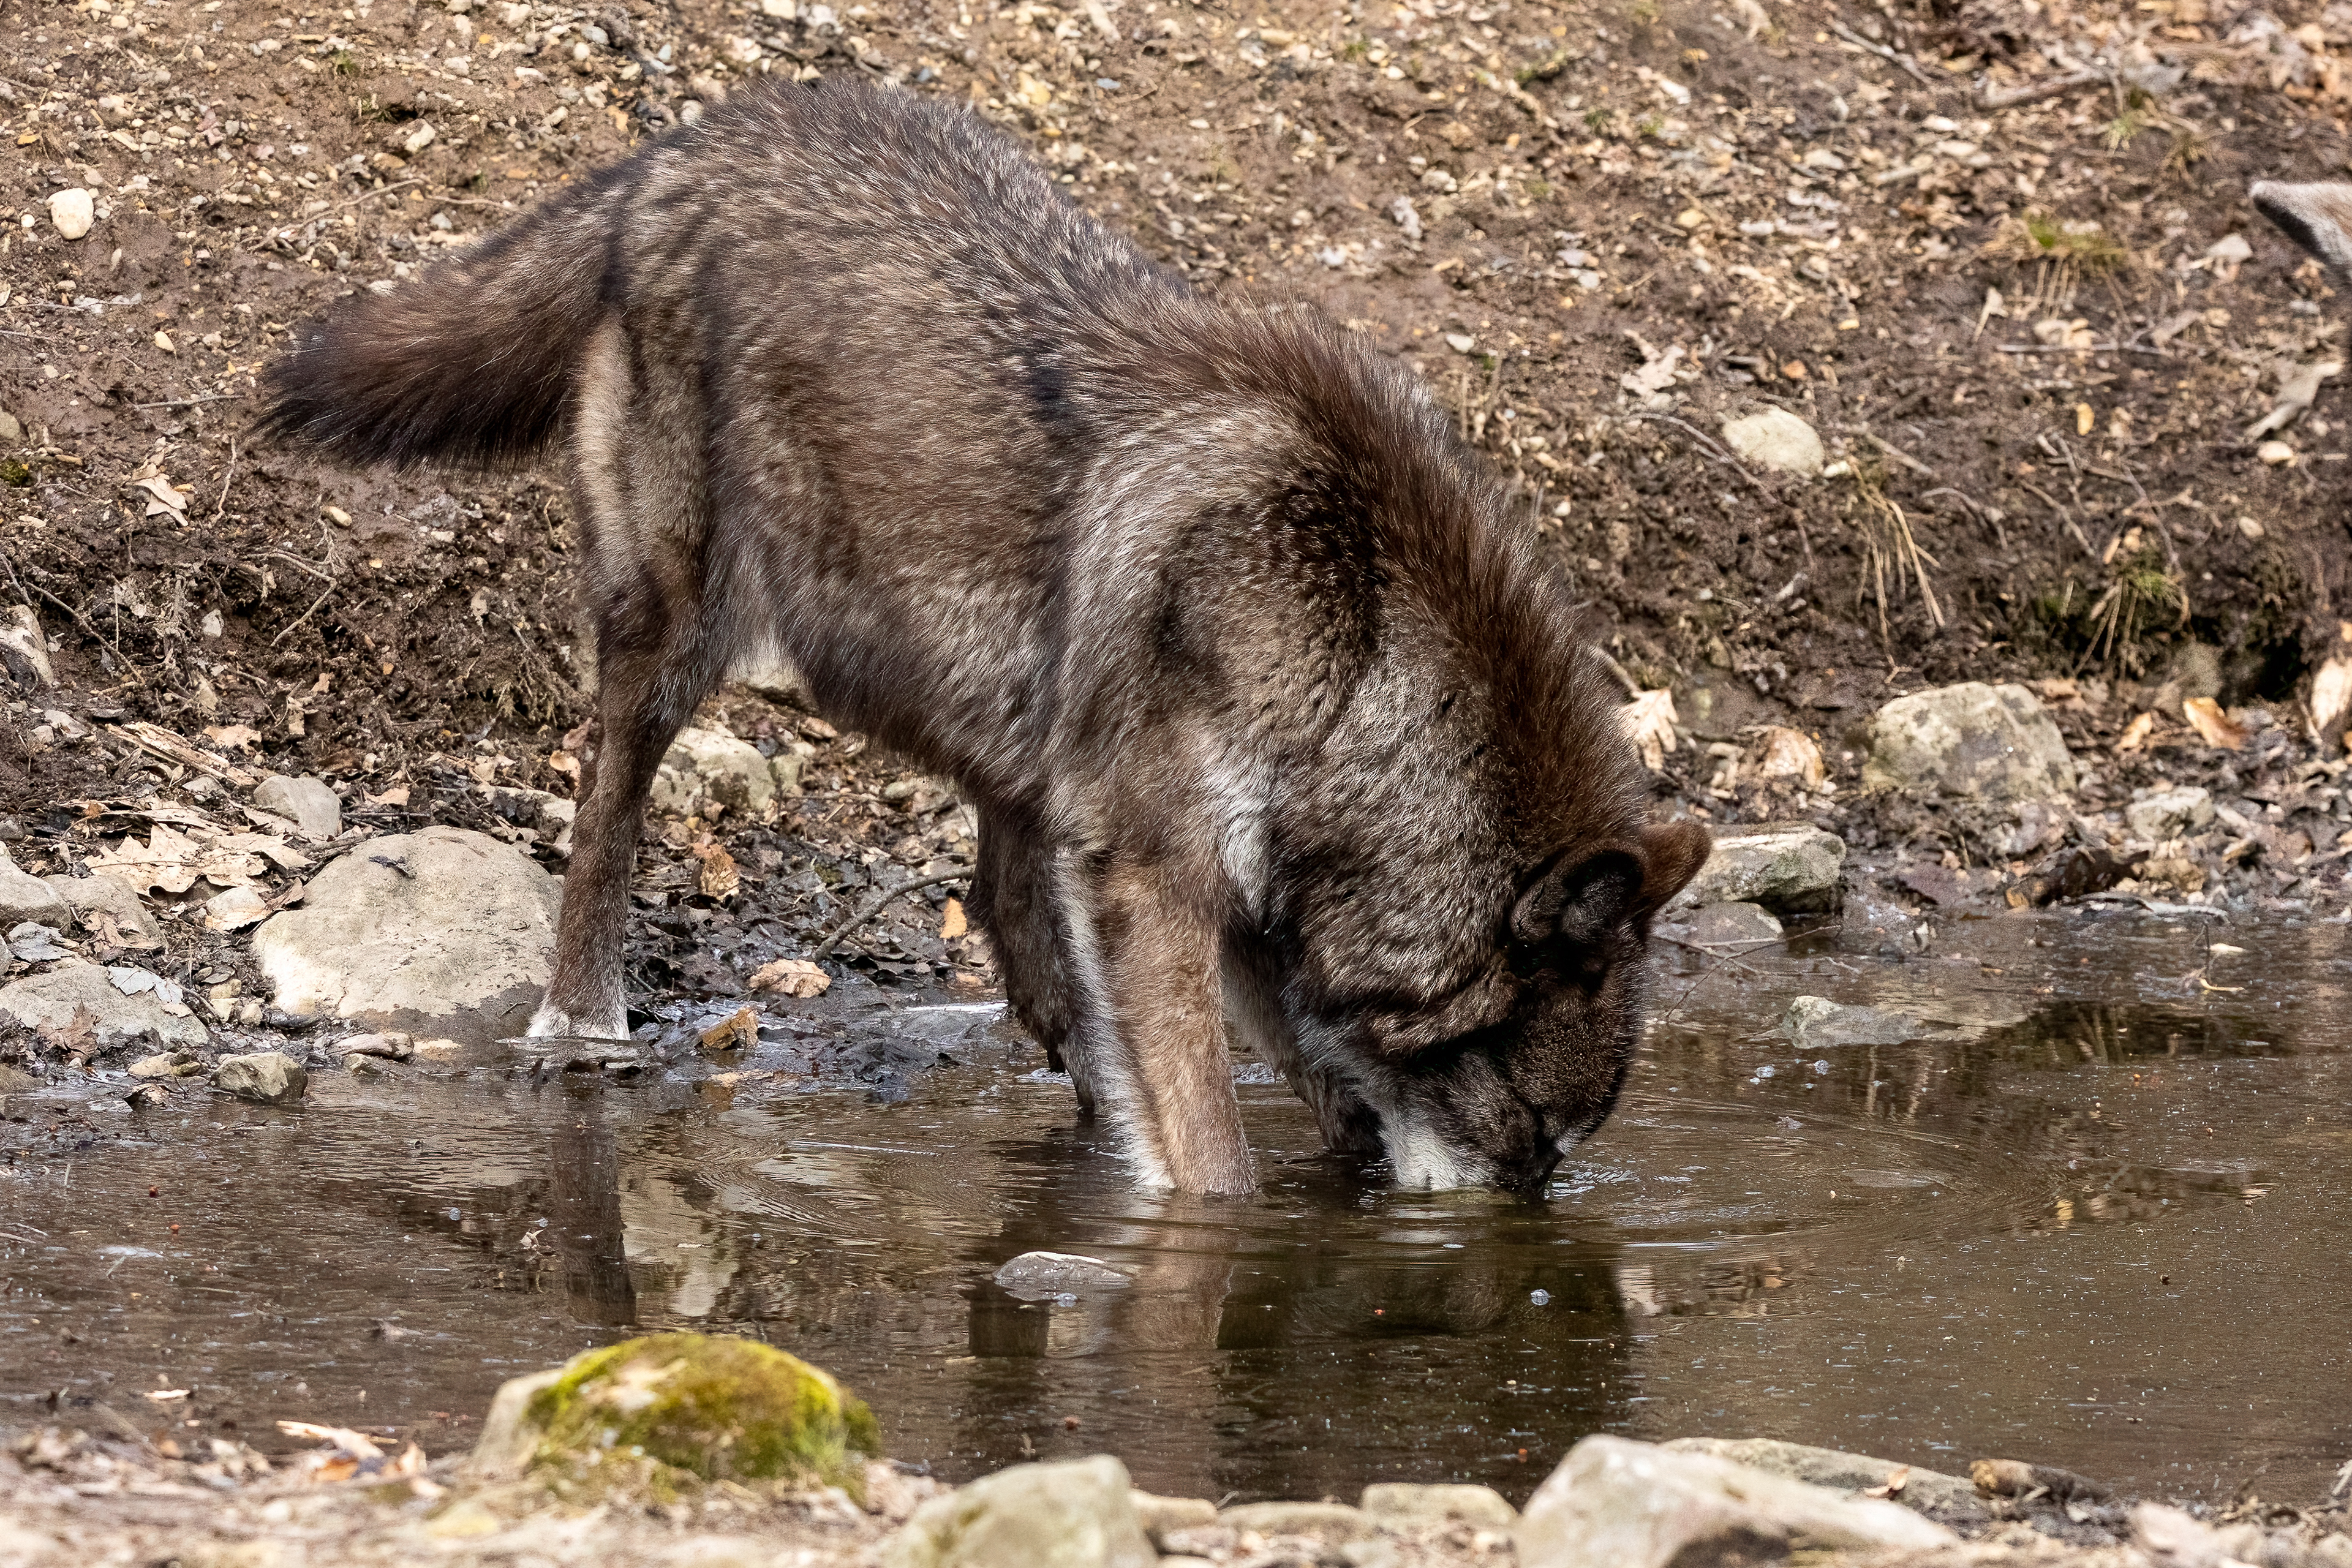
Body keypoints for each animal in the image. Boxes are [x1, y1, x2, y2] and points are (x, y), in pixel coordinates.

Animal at [261, 77, 1710, 1196]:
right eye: (1536, 1133)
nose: (1527, 1217)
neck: (1357, 644)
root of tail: (683, 148)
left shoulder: (1239, 910)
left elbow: (1312, 1089)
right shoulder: (1158, 877)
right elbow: (1216, 1157)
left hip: (981, 687)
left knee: (1008, 884)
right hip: (672, 627)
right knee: (608, 802)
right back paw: (584, 1017)